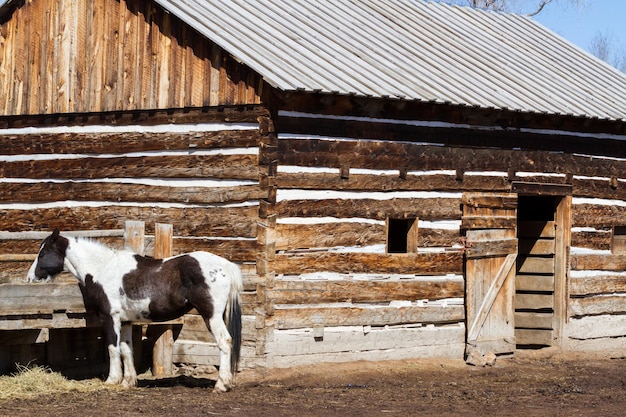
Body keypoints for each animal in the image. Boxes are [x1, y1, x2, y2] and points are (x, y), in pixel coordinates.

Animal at [24, 228, 240, 390]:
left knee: (224, 341)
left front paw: (112, 379)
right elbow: (127, 349)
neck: (102, 269)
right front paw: (128, 382)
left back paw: (221, 385)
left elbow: (113, 348)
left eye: (42, 254)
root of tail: (225, 266)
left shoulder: (109, 318)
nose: (29, 278)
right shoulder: (126, 321)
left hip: (211, 315)